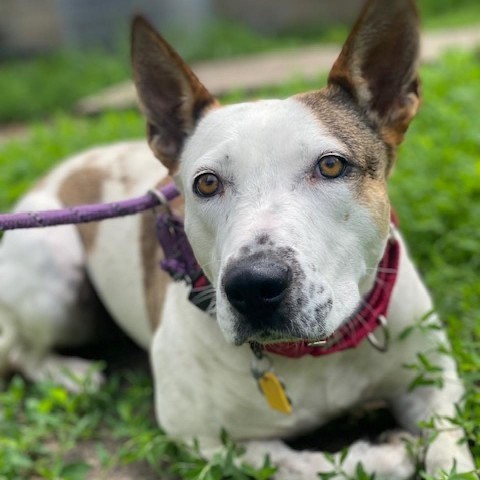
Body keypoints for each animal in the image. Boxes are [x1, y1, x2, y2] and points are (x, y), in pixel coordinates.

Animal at [0, 0, 474, 478]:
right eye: (206, 183)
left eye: (331, 166)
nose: (253, 286)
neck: (315, 356)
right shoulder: (202, 436)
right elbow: (292, 463)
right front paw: (384, 455)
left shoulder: (437, 383)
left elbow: (448, 448)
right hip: (53, 274)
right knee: (21, 350)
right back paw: (69, 374)